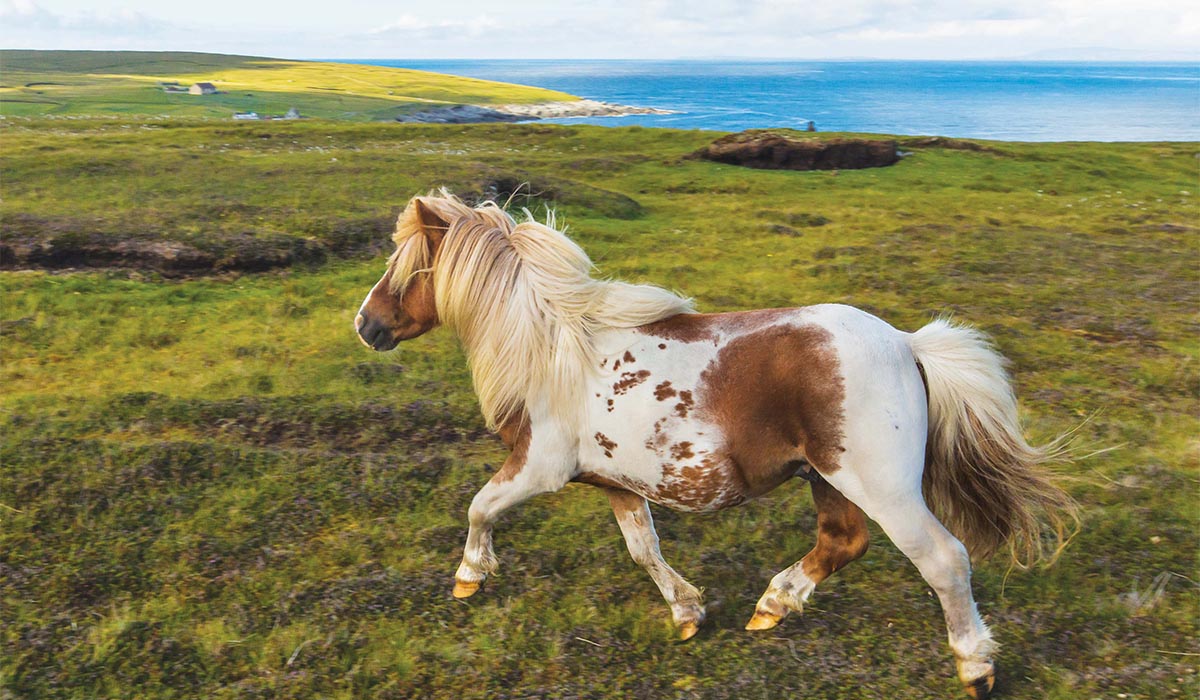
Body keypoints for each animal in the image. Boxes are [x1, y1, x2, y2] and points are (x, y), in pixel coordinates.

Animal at [354, 193, 1076, 698]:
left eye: (407, 266)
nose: (365, 325)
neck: (552, 348)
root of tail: (906, 343)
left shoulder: (539, 465)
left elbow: (479, 507)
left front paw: (469, 578)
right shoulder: (618, 485)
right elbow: (644, 551)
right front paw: (688, 612)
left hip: (883, 487)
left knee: (943, 561)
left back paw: (976, 668)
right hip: (827, 478)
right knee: (842, 543)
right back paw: (771, 608)